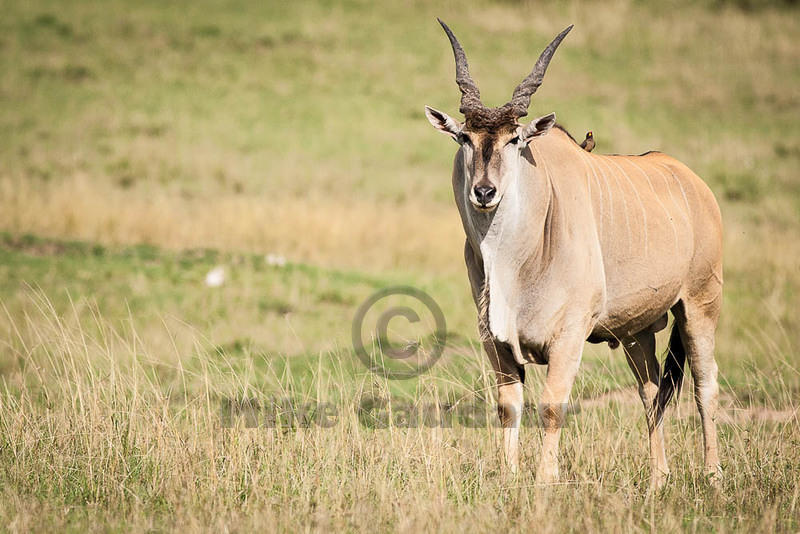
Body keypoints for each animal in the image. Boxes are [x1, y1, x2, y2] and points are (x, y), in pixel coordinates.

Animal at [424, 21, 724, 490]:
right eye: (464, 137)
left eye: (515, 139)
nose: (484, 192)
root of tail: (695, 184)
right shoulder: (496, 341)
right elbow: (509, 406)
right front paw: (510, 476)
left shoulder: (569, 336)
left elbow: (551, 405)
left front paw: (545, 479)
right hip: (638, 332)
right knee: (651, 392)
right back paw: (658, 478)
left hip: (700, 306)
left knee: (704, 385)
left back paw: (712, 475)